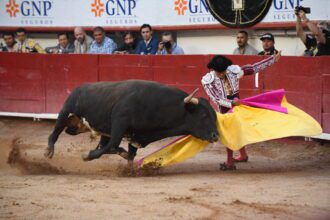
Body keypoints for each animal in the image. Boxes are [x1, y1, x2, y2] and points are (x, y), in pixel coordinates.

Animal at [44, 80, 219, 162]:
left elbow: (129, 155)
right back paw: (49, 151)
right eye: (204, 115)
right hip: (66, 111)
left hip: (97, 128)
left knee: (103, 144)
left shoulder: (136, 136)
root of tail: (79, 88)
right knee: (55, 133)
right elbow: (111, 146)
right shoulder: (119, 124)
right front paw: (86, 156)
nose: (216, 136)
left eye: (214, 115)